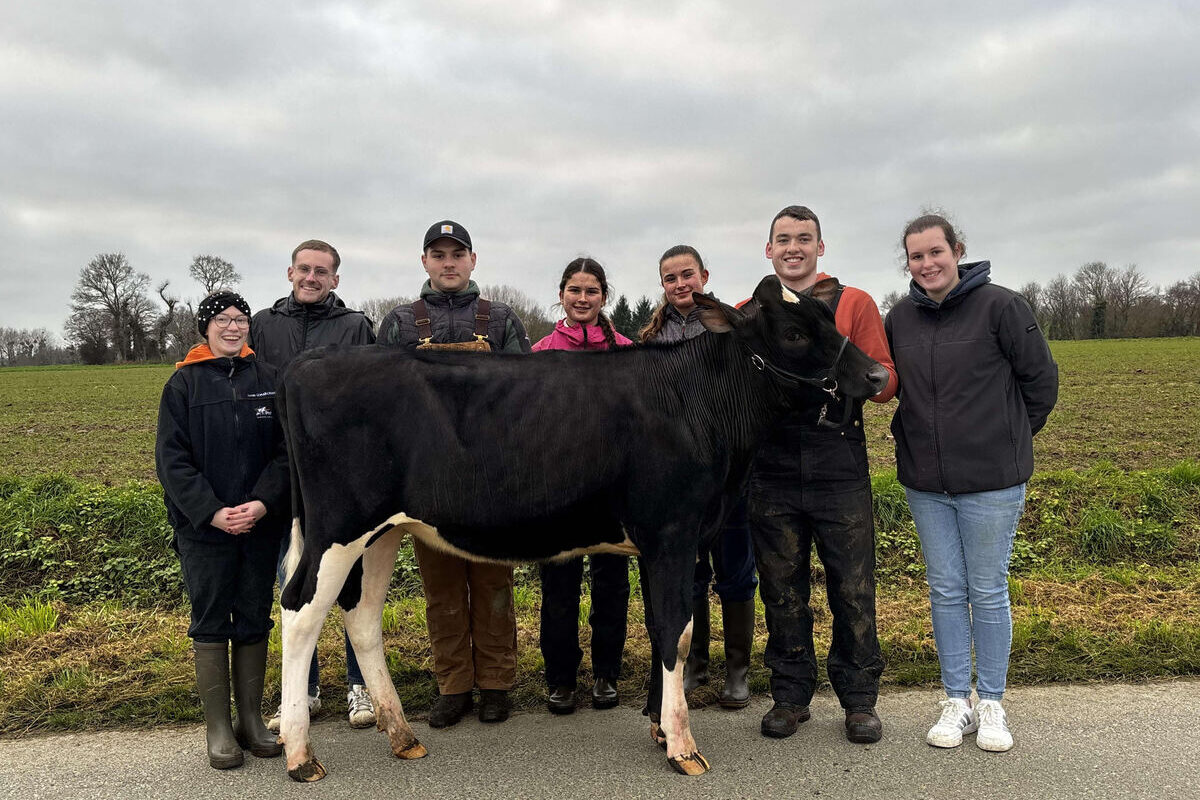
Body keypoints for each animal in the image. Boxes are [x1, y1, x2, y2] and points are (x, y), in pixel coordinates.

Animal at [276, 277, 888, 782]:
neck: (696, 402)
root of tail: (308, 362)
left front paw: (659, 727)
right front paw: (682, 746)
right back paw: (300, 754)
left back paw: (402, 736)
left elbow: (669, 628)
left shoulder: (679, 538)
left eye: (830, 319)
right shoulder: (671, 530)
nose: (879, 374)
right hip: (339, 527)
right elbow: (677, 629)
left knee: (361, 616)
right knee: (301, 611)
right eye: (792, 332)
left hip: (385, 530)